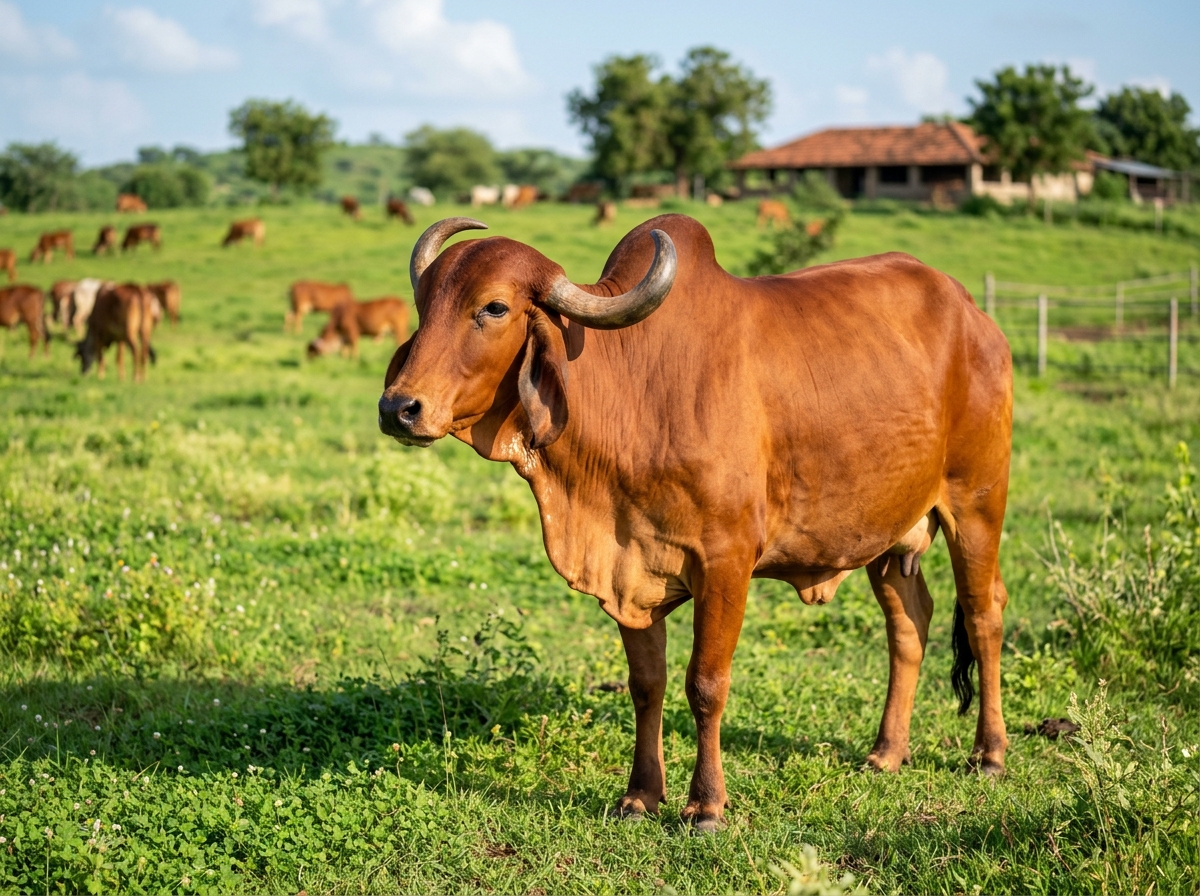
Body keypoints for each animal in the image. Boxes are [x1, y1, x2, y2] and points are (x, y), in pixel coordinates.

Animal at [377, 215, 1014, 831]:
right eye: (425, 304)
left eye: (493, 308)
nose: (398, 408)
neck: (633, 391)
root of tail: (974, 314)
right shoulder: (626, 566)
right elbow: (646, 684)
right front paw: (640, 796)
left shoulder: (725, 563)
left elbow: (705, 684)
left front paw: (706, 806)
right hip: (887, 533)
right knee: (909, 623)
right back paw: (887, 752)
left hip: (977, 503)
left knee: (984, 613)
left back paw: (989, 753)